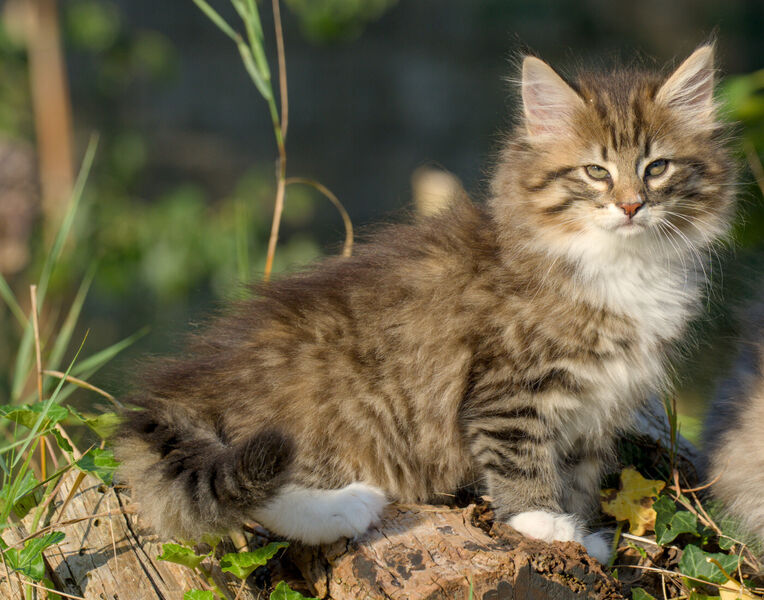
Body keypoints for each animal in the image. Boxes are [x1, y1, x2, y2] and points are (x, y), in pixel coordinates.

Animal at [115, 45, 736, 564]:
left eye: (657, 168)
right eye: (595, 171)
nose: (631, 206)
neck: (618, 262)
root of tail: (181, 390)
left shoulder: (595, 409)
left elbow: (579, 480)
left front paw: (583, 537)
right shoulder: (508, 391)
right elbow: (523, 461)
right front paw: (542, 523)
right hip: (315, 420)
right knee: (255, 496)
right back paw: (345, 508)